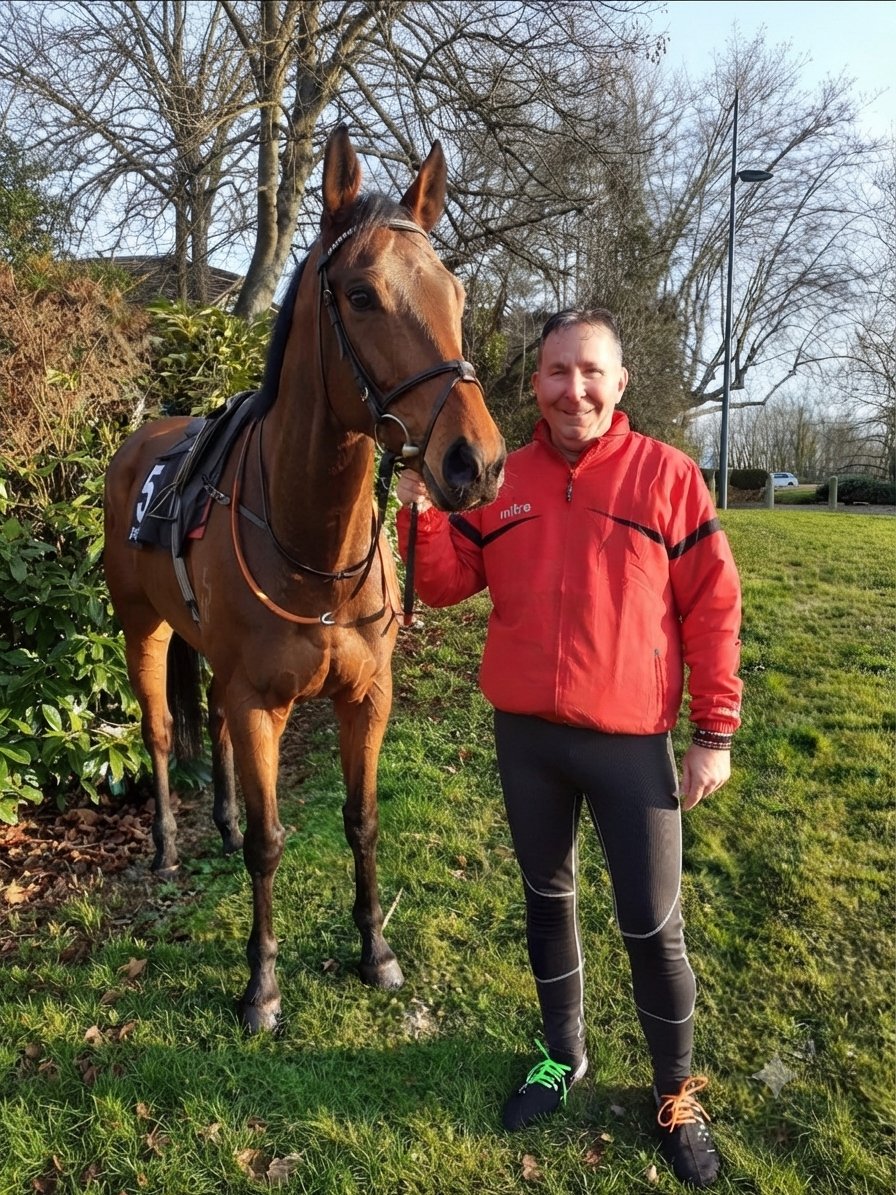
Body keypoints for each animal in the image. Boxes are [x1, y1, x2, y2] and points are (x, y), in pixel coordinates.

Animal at [102, 125, 506, 1032]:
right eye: (359, 295)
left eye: (455, 292)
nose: (477, 461)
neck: (313, 548)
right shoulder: (262, 701)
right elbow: (270, 841)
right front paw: (261, 982)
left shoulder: (367, 697)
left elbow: (362, 822)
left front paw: (375, 949)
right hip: (141, 627)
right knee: (158, 730)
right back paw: (170, 848)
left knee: (207, 724)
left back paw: (214, 825)